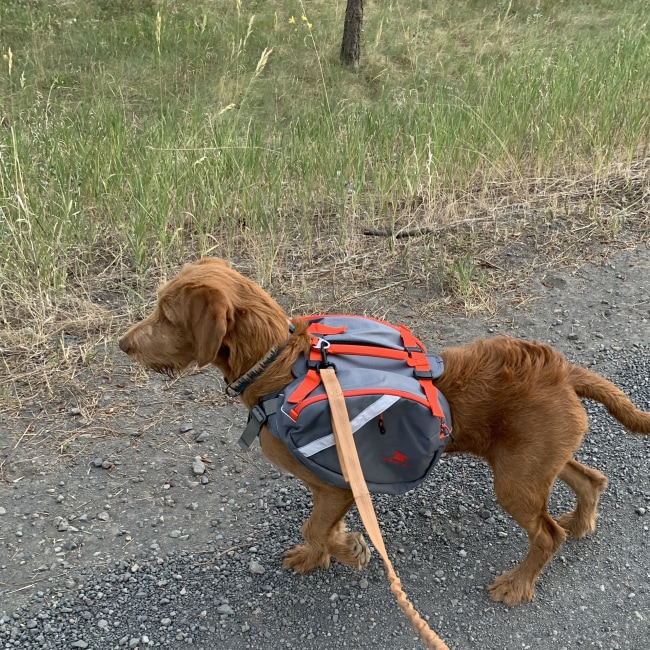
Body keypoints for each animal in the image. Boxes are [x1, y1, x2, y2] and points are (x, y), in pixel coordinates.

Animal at [117, 256, 648, 604]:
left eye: (167, 315)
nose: (123, 345)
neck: (278, 366)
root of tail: (562, 369)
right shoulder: (334, 485)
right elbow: (320, 527)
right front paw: (327, 552)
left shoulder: (336, 483)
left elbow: (315, 526)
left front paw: (348, 551)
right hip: (534, 462)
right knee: (589, 477)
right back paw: (581, 520)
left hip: (515, 480)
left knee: (546, 534)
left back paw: (518, 583)